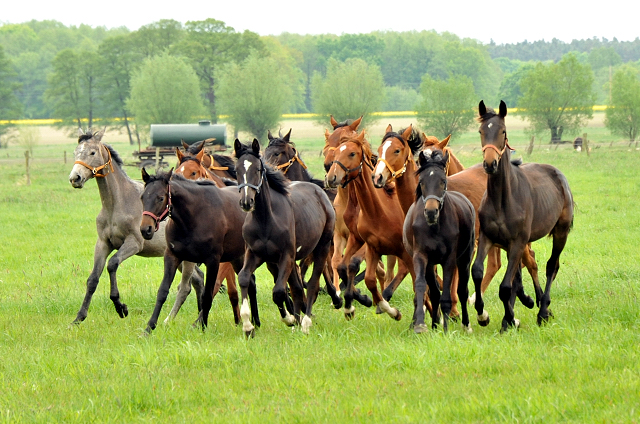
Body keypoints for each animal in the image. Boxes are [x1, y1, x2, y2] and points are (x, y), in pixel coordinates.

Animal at [68, 128, 202, 324]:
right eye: (76, 152)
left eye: (92, 152)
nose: (75, 178)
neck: (117, 203)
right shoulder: (103, 244)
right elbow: (92, 279)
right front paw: (78, 318)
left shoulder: (134, 243)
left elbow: (112, 264)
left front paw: (120, 307)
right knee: (199, 280)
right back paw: (199, 318)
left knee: (186, 286)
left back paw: (170, 321)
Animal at [141, 168, 260, 332]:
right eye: (142, 197)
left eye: (160, 198)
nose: (145, 229)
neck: (193, 217)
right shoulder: (172, 256)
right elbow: (163, 291)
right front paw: (149, 327)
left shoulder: (212, 261)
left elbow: (207, 294)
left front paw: (203, 326)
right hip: (236, 258)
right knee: (251, 283)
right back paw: (255, 322)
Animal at [231, 138, 340, 334]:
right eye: (237, 170)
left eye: (257, 169)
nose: (246, 202)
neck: (266, 220)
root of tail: (320, 192)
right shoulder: (256, 254)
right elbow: (244, 278)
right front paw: (248, 325)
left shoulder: (286, 256)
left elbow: (279, 292)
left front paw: (289, 319)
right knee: (297, 288)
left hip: (322, 247)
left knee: (313, 283)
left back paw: (305, 322)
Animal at [404, 151, 476, 332]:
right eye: (421, 181)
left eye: (443, 181)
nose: (431, 212)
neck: (434, 227)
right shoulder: (421, 256)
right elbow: (422, 286)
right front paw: (421, 325)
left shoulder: (449, 260)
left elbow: (447, 295)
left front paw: (446, 330)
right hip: (431, 264)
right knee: (435, 292)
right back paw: (435, 325)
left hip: (464, 260)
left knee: (462, 290)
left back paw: (466, 325)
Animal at [470, 100, 576, 332]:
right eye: (481, 131)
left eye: (503, 131)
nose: (489, 164)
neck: (502, 200)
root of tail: (559, 175)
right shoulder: (488, 238)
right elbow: (478, 271)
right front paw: (484, 315)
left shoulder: (518, 241)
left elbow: (505, 286)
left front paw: (509, 319)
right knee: (522, 272)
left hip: (561, 233)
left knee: (551, 266)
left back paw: (543, 310)